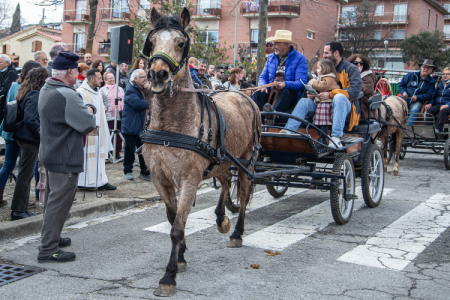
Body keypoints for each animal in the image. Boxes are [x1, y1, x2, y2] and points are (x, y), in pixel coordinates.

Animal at [140, 7, 260, 298]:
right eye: (152, 41)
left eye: (181, 43)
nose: (157, 75)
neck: (171, 124)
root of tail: (244, 94)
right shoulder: (160, 179)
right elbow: (174, 219)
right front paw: (181, 257)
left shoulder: (189, 180)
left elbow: (177, 227)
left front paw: (169, 276)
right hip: (221, 160)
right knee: (226, 182)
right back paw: (221, 218)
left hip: (247, 161)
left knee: (243, 192)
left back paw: (236, 232)